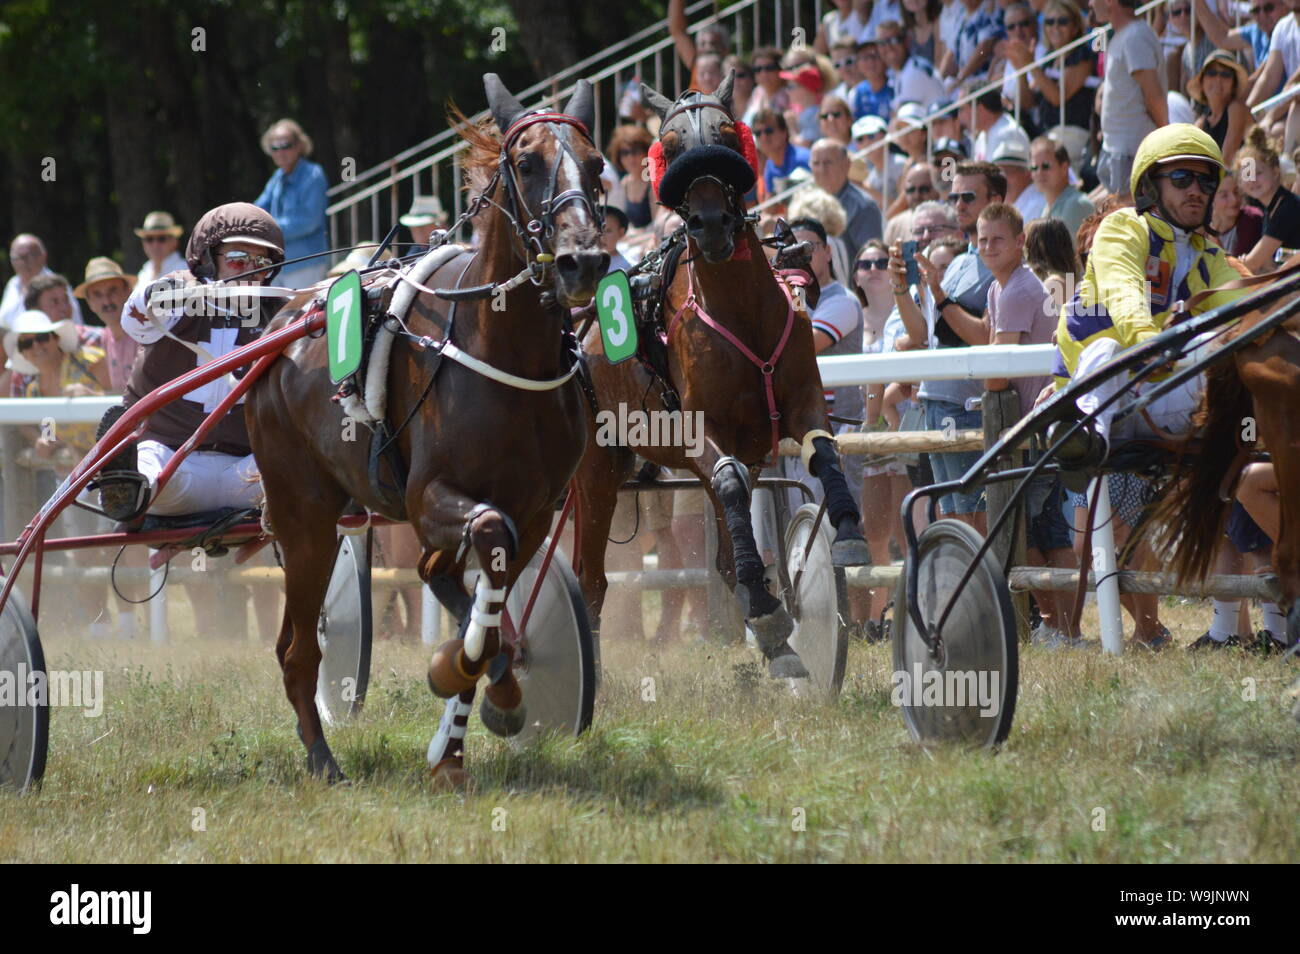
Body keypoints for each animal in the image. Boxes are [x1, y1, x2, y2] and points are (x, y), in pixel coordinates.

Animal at [246, 74, 608, 786]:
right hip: (305, 514)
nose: (582, 261)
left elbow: (490, 602)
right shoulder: (428, 495)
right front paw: (458, 674)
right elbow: (486, 548)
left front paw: (464, 733)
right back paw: (322, 758)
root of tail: (283, 325)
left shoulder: (537, 506)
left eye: (598, 164)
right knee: (298, 651)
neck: (505, 351)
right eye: (527, 163)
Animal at [569, 73, 870, 678]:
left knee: (727, 554)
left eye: (729, 136)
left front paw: (846, 534)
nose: (709, 223)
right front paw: (770, 615)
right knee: (590, 580)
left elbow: (823, 451)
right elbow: (729, 479)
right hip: (596, 470)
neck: (741, 312)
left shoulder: (799, 400)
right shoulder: (700, 432)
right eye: (670, 146)